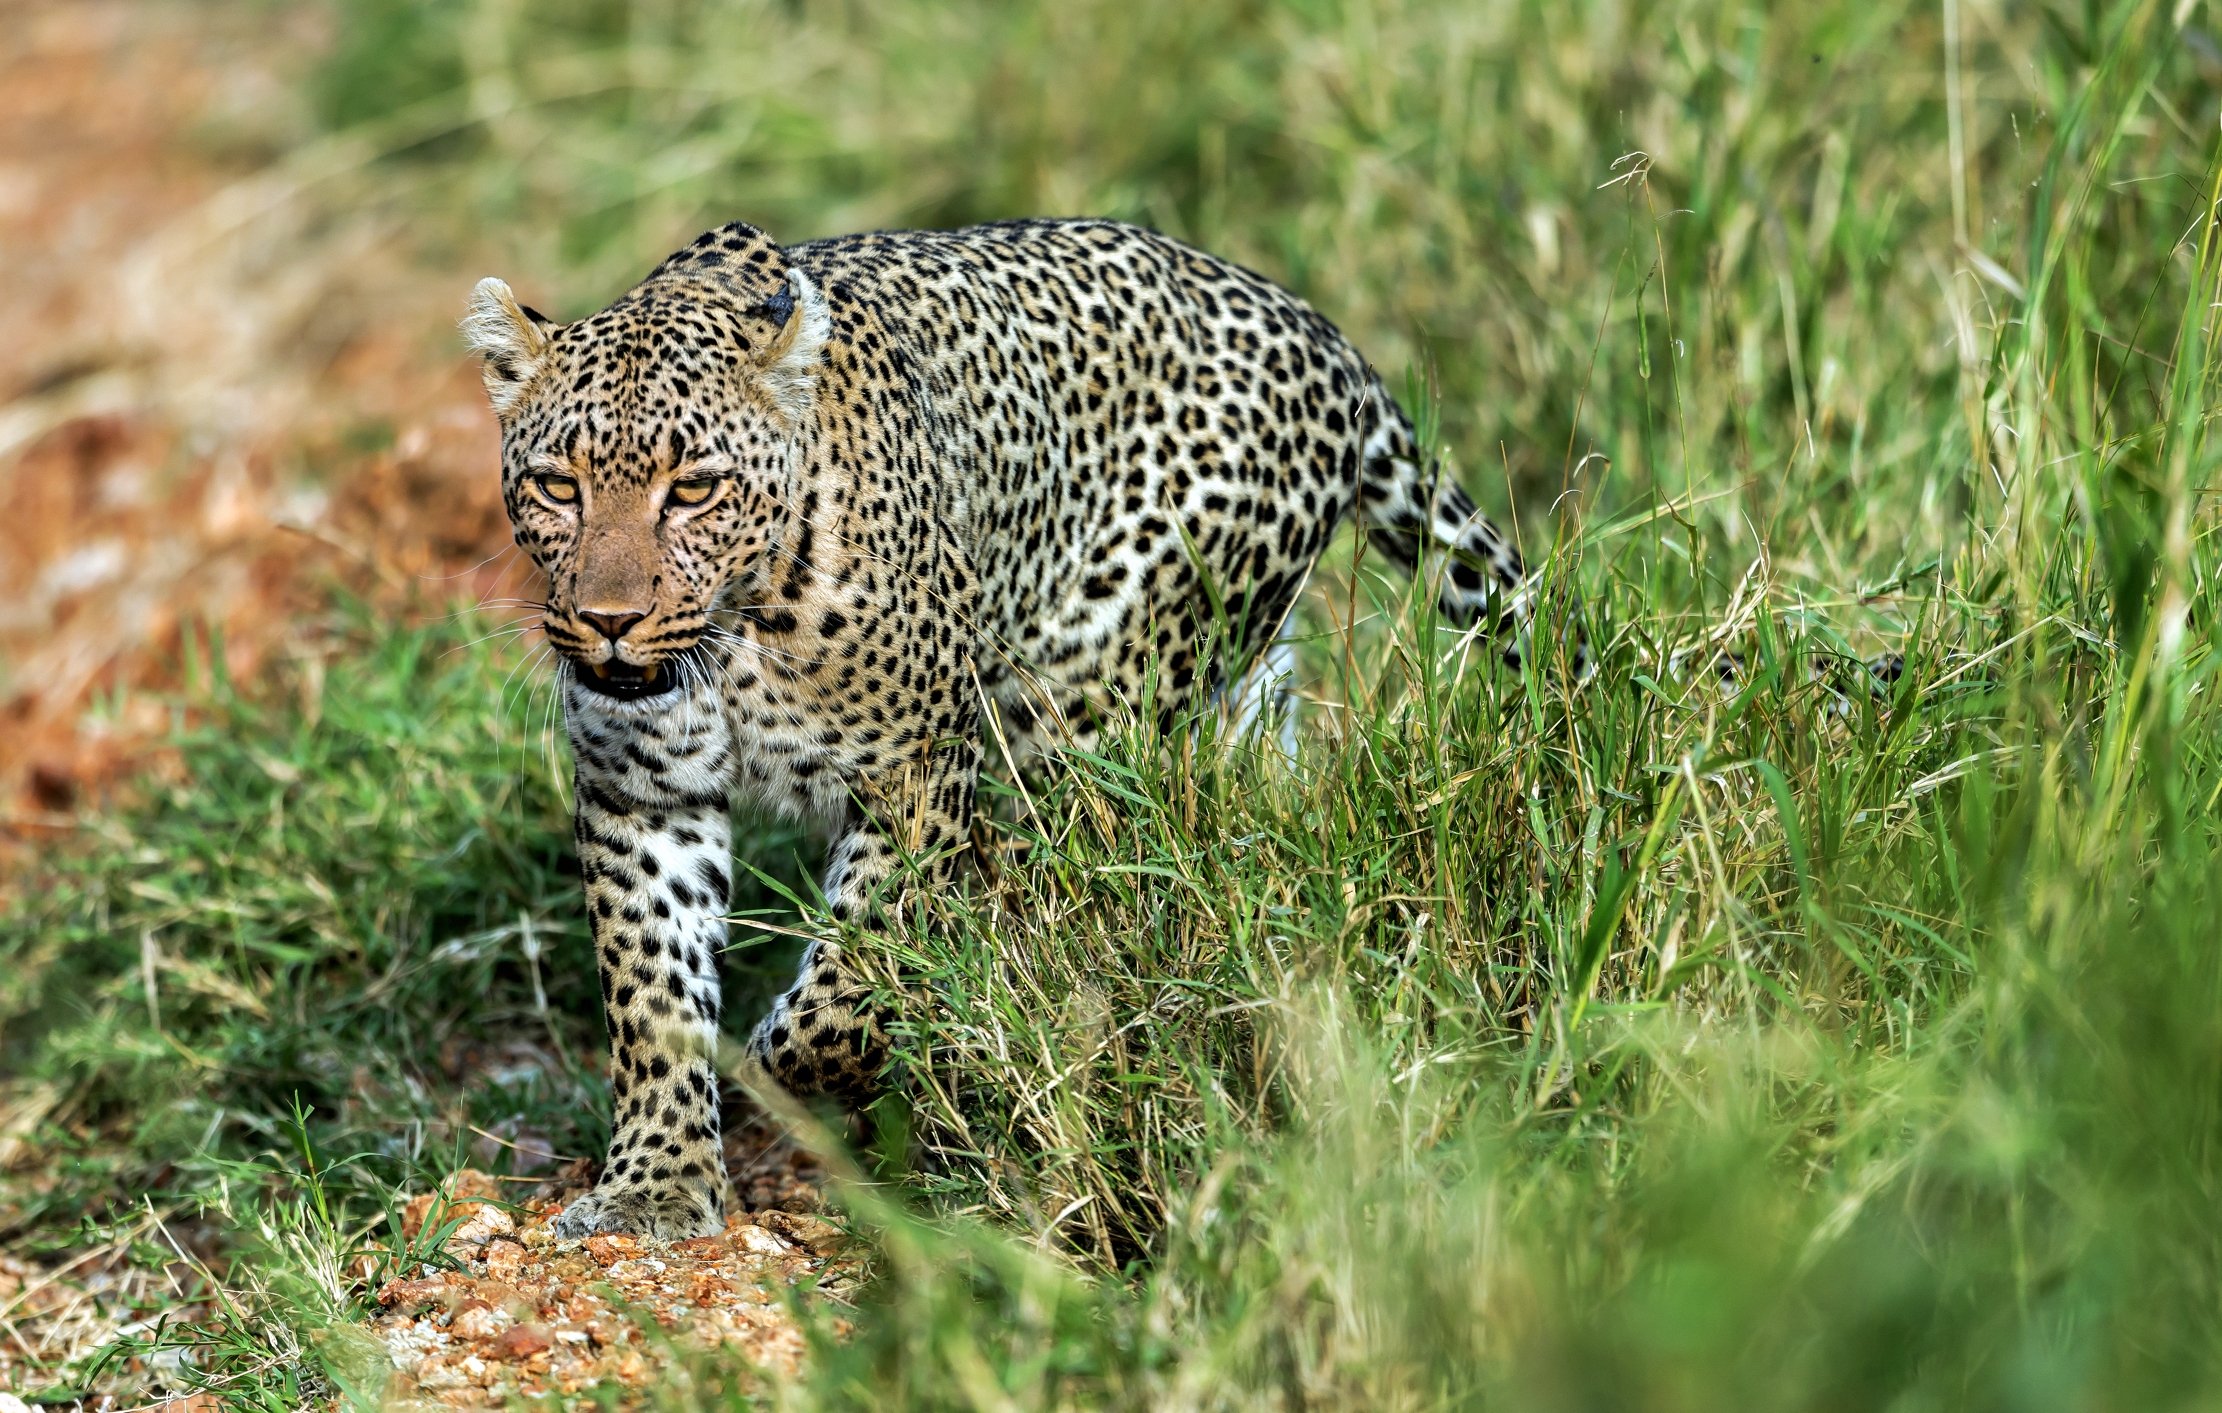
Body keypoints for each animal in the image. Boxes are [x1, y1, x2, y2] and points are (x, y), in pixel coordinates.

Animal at [462, 217, 1531, 1240]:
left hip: (1094, 700)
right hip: (1240, 684)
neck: (734, 635)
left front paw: (784, 1059)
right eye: (557, 486)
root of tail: (1319, 332)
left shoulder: (916, 768)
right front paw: (657, 1184)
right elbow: (652, 995)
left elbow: (852, 981)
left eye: (693, 489)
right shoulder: (642, 794)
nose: (609, 621)